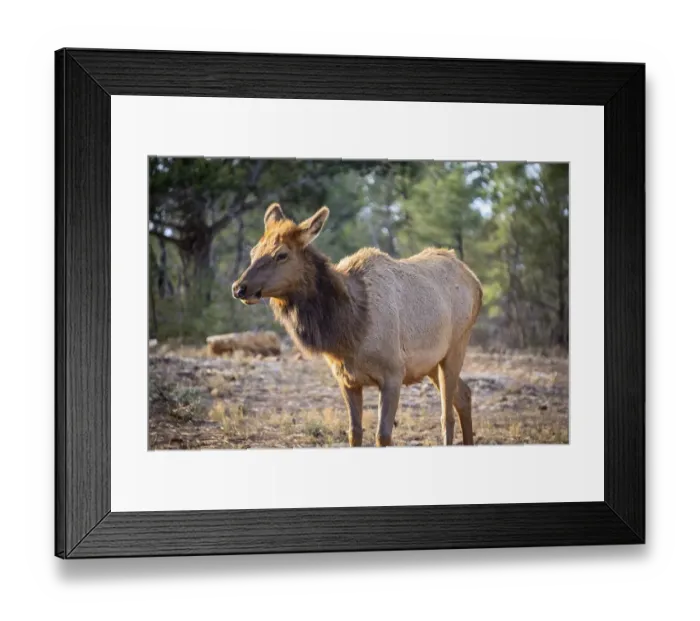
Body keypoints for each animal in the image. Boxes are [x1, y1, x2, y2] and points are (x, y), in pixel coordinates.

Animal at [232, 203, 483, 448]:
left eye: (281, 255)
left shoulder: (393, 374)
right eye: (253, 252)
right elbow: (354, 433)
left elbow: (383, 436)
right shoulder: (347, 380)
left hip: (457, 346)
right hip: (431, 362)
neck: (350, 331)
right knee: (464, 394)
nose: (239, 287)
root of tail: (476, 282)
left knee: (446, 415)